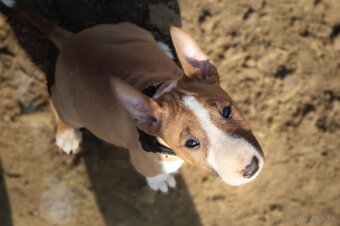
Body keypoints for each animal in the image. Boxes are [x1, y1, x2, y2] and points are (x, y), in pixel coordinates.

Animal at [1, 0, 264, 192]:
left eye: (227, 110)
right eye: (191, 143)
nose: (251, 168)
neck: (158, 89)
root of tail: (71, 41)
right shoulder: (143, 161)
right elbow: (152, 173)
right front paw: (160, 181)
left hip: (125, 30)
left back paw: (162, 46)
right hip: (68, 106)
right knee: (55, 98)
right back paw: (67, 134)